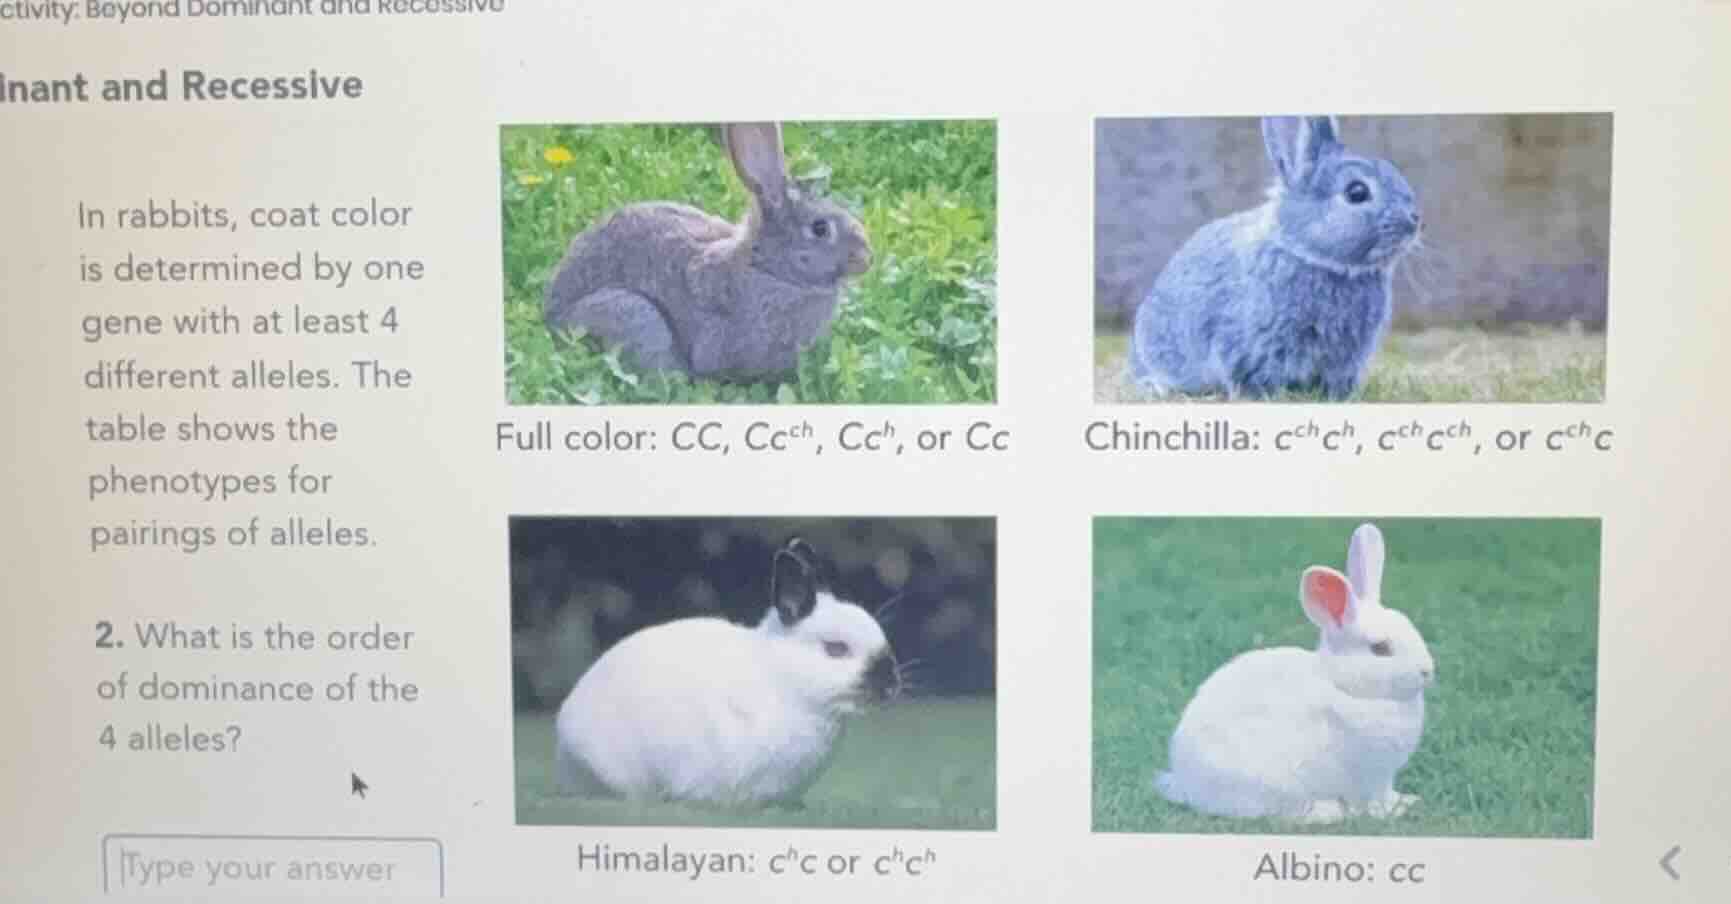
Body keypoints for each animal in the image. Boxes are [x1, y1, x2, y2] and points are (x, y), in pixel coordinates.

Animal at [1153, 523, 1436, 824]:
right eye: (1380, 648)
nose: (1427, 670)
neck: (1345, 687)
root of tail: (1187, 782)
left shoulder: (1384, 777)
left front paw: (1407, 801)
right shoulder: (1371, 778)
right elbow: (1375, 800)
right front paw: (1391, 812)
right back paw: (1328, 812)